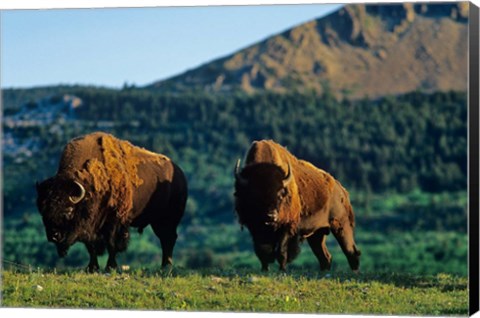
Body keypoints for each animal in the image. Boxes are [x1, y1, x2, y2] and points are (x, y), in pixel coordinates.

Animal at [35, 132, 188, 270]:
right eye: (44, 212)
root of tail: (180, 174)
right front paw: (92, 268)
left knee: (168, 238)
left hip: (167, 219)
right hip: (157, 221)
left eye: (68, 211)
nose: (54, 236)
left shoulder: (114, 221)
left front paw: (110, 267)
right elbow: (91, 246)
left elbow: (112, 244)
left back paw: (166, 266)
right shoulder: (91, 227)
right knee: (166, 238)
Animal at [232, 140, 360, 272]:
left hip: (341, 226)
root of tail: (342, 191)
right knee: (325, 257)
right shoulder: (255, 228)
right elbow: (263, 252)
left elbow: (281, 251)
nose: (271, 216)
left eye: (280, 195)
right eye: (256, 195)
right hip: (317, 234)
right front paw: (265, 270)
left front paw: (282, 270)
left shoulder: (288, 227)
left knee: (351, 252)